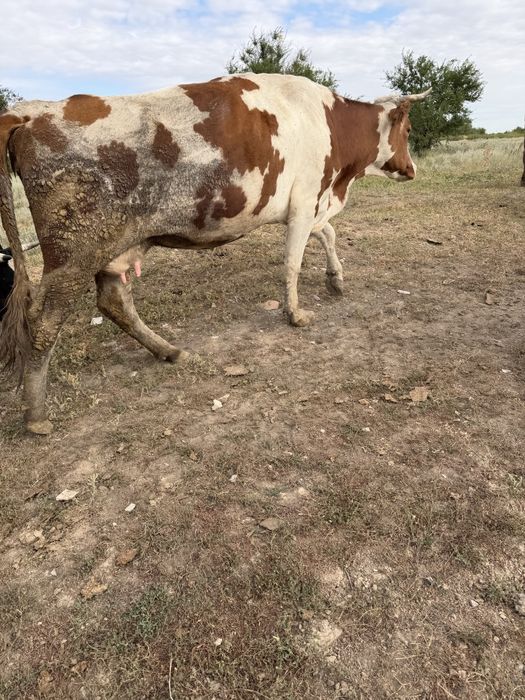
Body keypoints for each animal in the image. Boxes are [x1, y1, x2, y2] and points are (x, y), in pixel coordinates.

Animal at [0, 73, 430, 434]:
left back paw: (168, 351)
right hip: (73, 255)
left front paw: (335, 279)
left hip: (113, 247)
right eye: (408, 129)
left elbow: (328, 232)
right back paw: (36, 416)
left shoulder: (308, 206)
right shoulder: (306, 198)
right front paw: (296, 314)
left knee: (114, 302)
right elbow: (293, 261)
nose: (411, 169)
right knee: (43, 321)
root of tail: (31, 112)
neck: (330, 124)